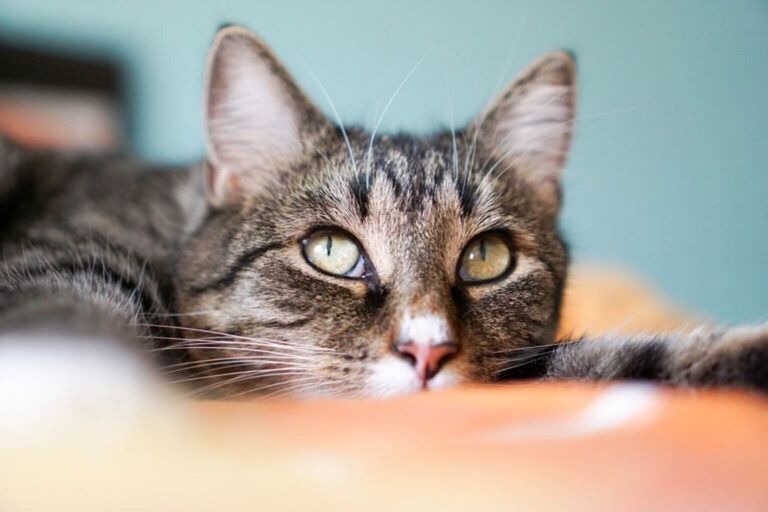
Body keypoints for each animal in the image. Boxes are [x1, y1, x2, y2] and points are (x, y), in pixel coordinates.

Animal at [0, 25, 764, 400]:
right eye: (331, 251)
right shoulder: (66, 268)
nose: (427, 351)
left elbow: (626, 358)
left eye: (487, 258)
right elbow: (67, 324)